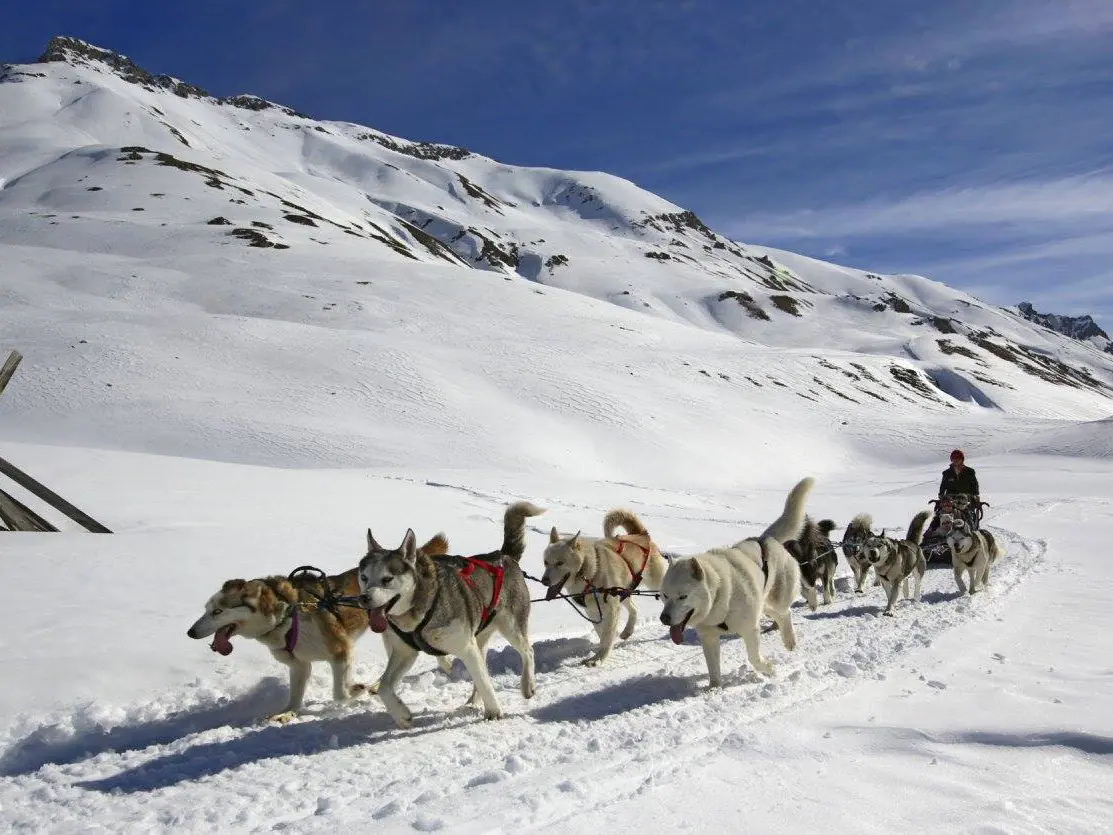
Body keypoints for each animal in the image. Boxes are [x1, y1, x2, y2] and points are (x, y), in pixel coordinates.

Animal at [189, 536, 449, 725]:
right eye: (207, 609)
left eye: (218, 612)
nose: (190, 633)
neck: (288, 615)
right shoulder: (299, 665)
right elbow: (296, 696)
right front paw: (287, 713)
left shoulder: (341, 652)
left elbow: (340, 693)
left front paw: (355, 690)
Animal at [358, 503, 545, 725]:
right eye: (363, 577)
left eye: (387, 579)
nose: (364, 598)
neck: (421, 613)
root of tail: (503, 556)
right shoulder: (405, 652)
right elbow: (385, 687)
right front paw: (402, 715)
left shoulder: (466, 647)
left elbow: (485, 681)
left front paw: (494, 711)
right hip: (480, 637)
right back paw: (473, 702)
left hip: (511, 627)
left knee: (527, 652)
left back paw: (527, 685)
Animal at [540, 509, 663, 668]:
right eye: (546, 562)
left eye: (560, 563)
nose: (544, 581)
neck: (589, 574)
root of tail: (641, 535)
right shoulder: (592, 611)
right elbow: (602, 633)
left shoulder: (612, 609)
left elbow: (607, 636)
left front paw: (599, 658)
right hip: (622, 592)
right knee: (634, 609)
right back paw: (627, 631)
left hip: (658, 585)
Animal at [654, 476, 814, 685]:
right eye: (664, 596)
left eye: (683, 597)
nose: (664, 618)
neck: (721, 594)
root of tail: (767, 539)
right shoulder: (709, 637)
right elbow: (713, 670)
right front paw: (714, 688)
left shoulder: (750, 629)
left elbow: (754, 658)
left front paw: (769, 669)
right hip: (763, 604)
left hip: (777, 599)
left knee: (785, 614)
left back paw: (790, 641)